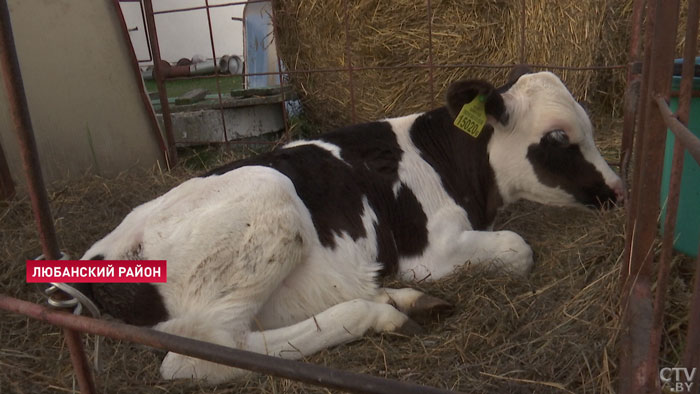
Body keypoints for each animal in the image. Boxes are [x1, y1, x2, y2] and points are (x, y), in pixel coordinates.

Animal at [80, 70, 624, 382]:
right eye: (558, 138)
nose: (619, 191)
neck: (445, 160)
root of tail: (100, 254)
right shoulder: (431, 252)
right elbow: (517, 247)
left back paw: (400, 300)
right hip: (268, 198)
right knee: (201, 354)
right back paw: (380, 315)